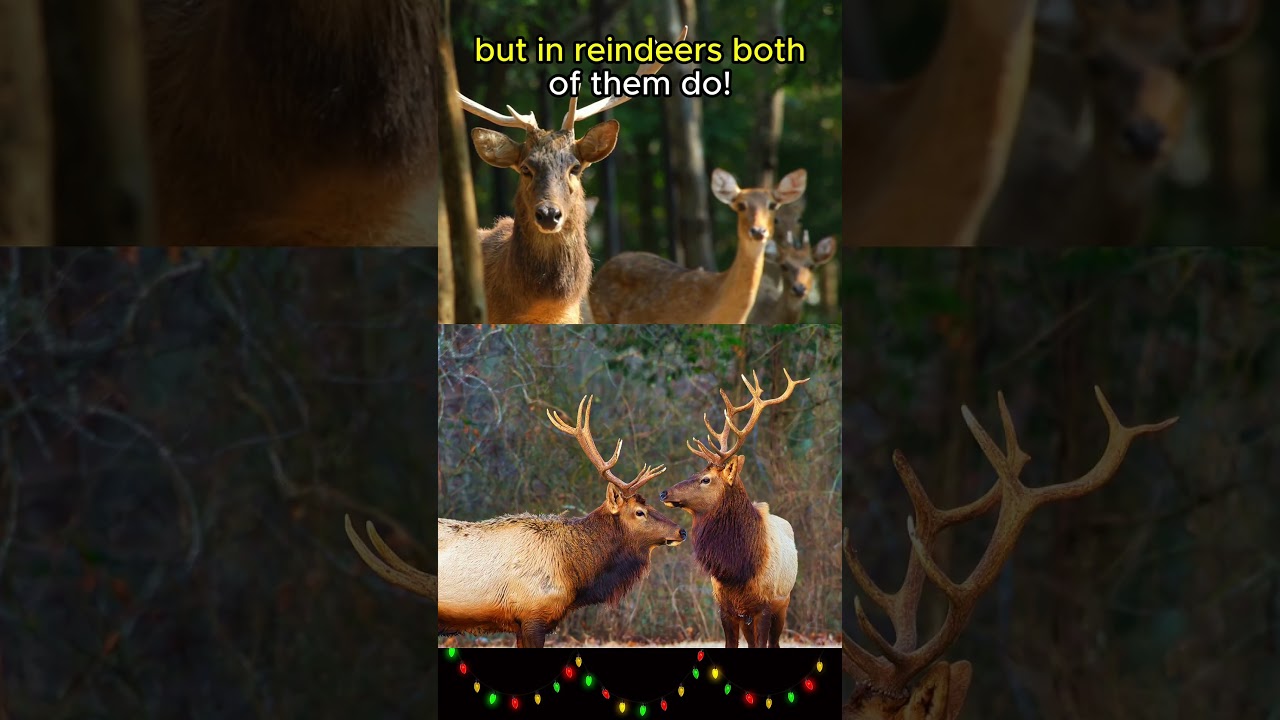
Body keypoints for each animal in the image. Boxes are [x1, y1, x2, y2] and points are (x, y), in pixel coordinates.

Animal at [660, 369, 807, 648]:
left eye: (706, 479)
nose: (664, 492)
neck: (737, 569)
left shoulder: (764, 607)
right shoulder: (726, 609)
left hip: (784, 602)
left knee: (775, 642)